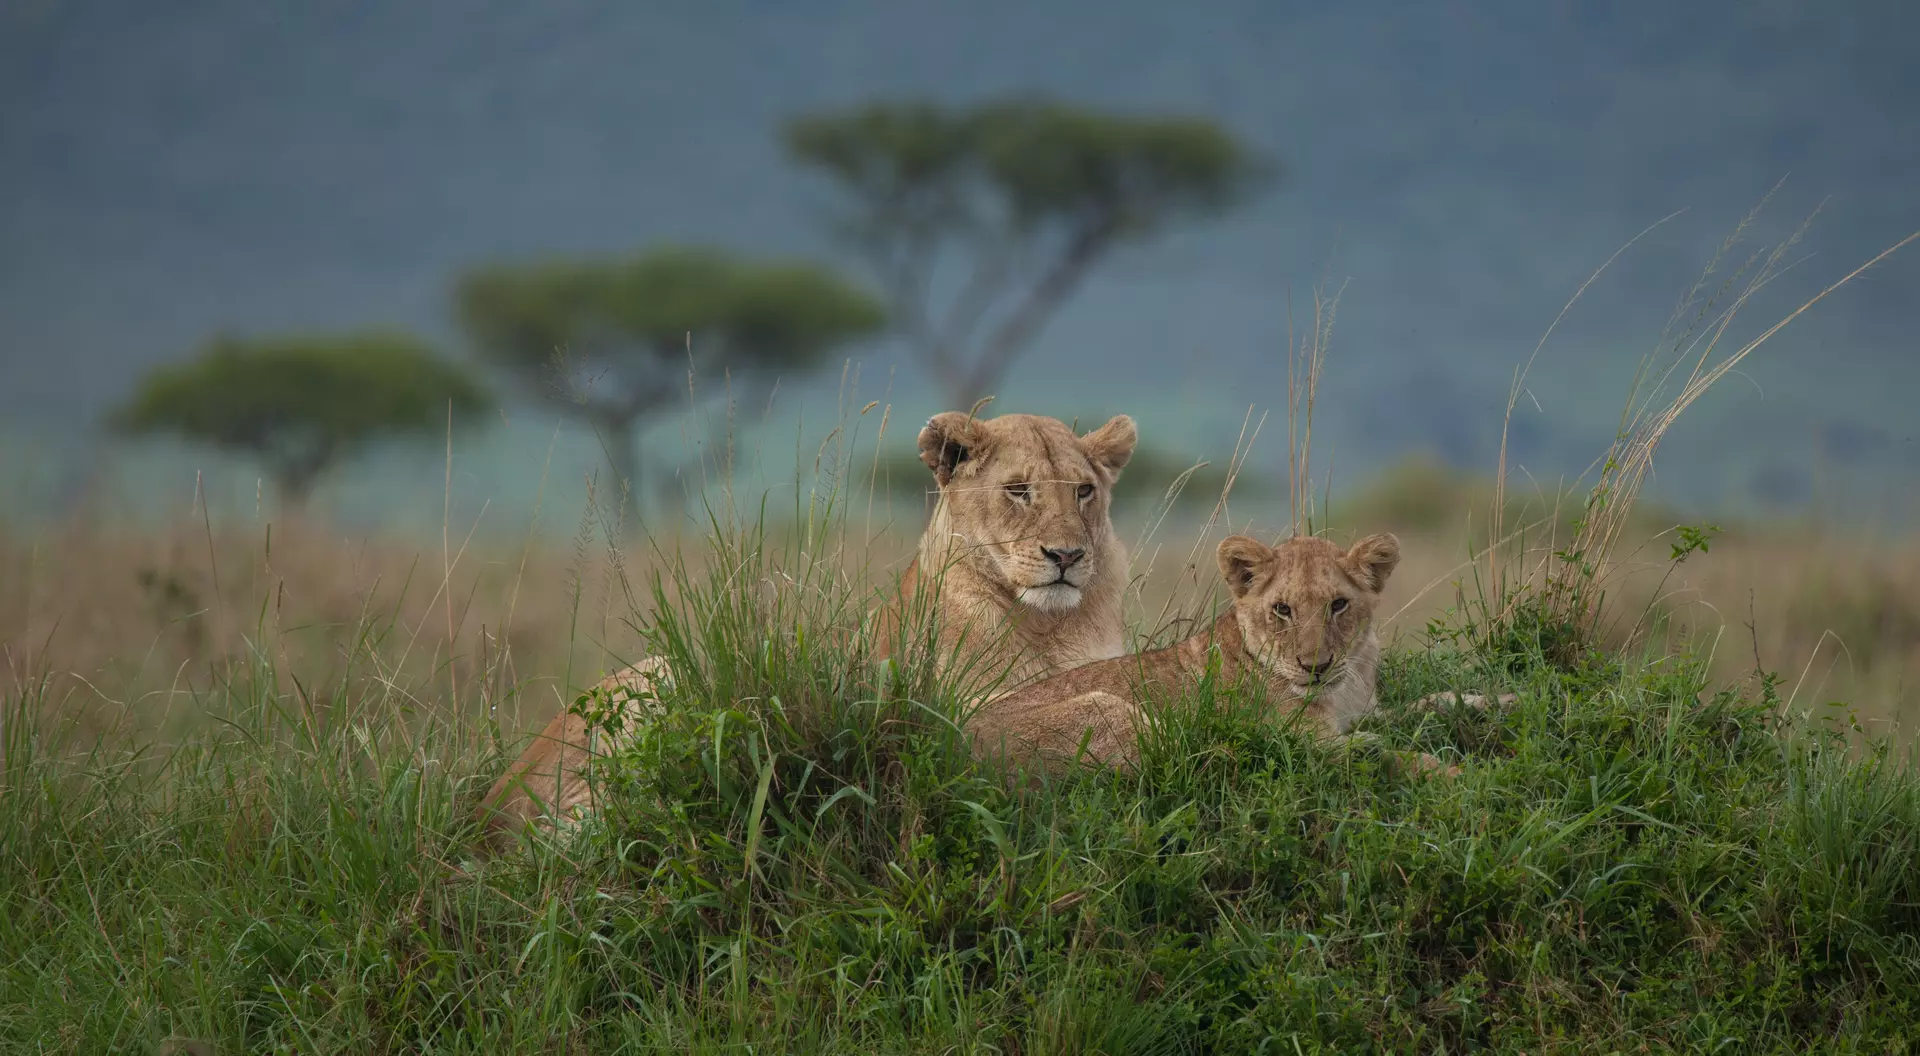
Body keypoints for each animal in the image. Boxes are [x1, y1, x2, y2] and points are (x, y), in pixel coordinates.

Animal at [476, 410, 1140, 842]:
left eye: (1084, 491)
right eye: (1019, 490)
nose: (1067, 556)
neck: (1053, 625)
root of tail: (490, 806)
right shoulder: (951, 725)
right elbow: (1092, 707)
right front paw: (1145, 729)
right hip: (656, 676)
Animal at [968, 530, 1463, 776]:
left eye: (1338, 605)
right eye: (1282, 609)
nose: (1315, 667)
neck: (1348, 681)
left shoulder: (1367, 710)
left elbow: (1427, 703)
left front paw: (1475, 702)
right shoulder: (1306, 733)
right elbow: (1396, 755)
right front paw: (1447, 771)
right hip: (1102, 710)